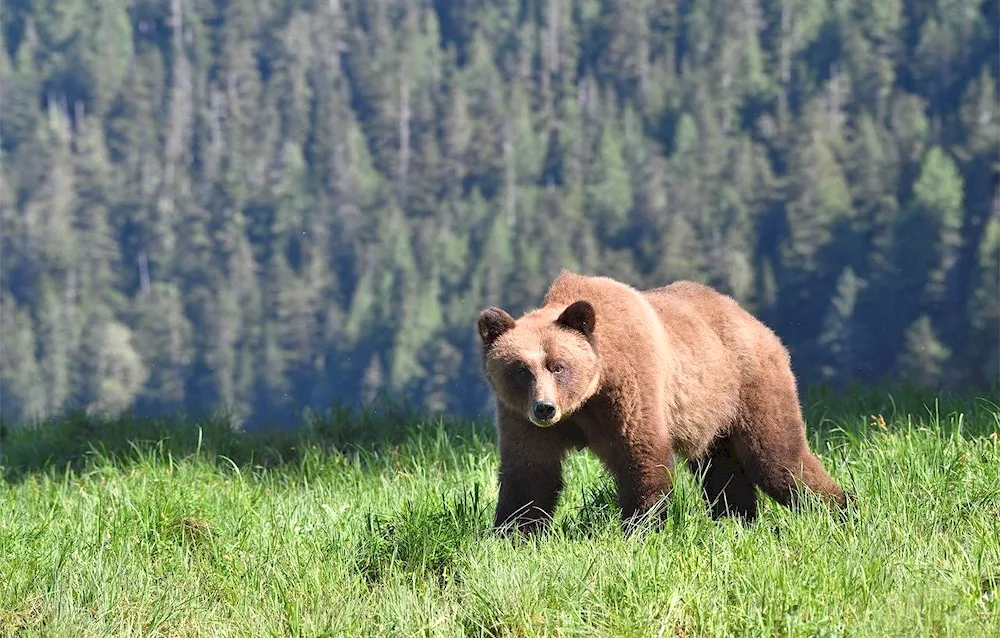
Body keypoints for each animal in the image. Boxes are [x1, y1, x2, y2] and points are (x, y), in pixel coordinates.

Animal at [478, 270, 852, 536]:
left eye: (558, 366)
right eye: (521, 370)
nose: (545, 408)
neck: (585, 399)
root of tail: (755, 323)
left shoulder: (630, 385)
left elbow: (641, 454)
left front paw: (641, 527)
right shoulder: (520, 416)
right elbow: (530, 472)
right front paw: (513, 534)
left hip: (749, 387)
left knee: (777, 459)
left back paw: (843, 511)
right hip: (712, 417)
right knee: (723, 471)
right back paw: (736, 521)